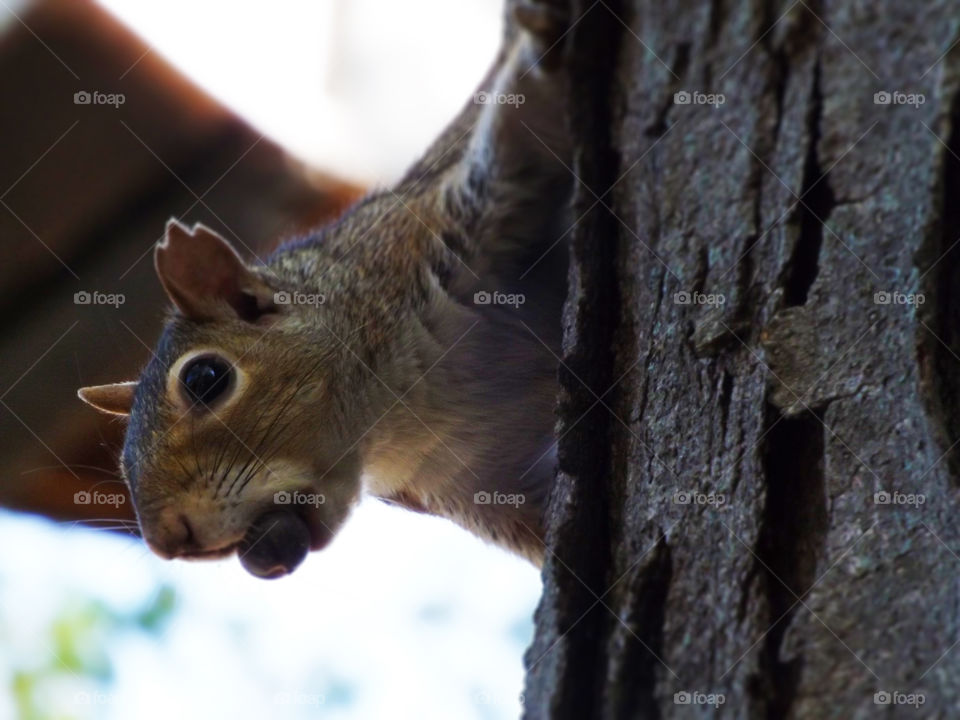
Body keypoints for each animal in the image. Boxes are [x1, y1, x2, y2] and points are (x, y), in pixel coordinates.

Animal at [78, 1, 572, 579]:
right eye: (121, 458)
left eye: (205, 379)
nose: (168, 541)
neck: (405, 410)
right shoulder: (482, 480)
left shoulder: (446, 223)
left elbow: (519, 133)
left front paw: (537, 45)